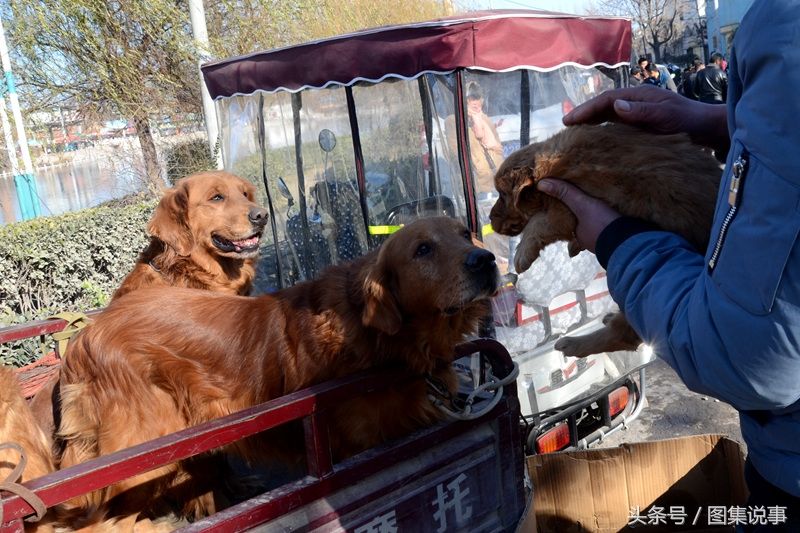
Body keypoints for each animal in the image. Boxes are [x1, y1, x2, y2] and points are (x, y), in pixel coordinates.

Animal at [56, 216, 496, 524]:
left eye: (465, 231)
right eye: (422, 249)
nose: (486, 259)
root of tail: (86, 335)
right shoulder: (358, 444)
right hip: (136, 458)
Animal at [490, 121, 720, 358]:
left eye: (502, 195)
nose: (489, 219)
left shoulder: (564, 209)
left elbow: (537, 223)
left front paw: (522, 254)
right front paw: (573, 246)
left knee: (623, 336)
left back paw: (574, 343)